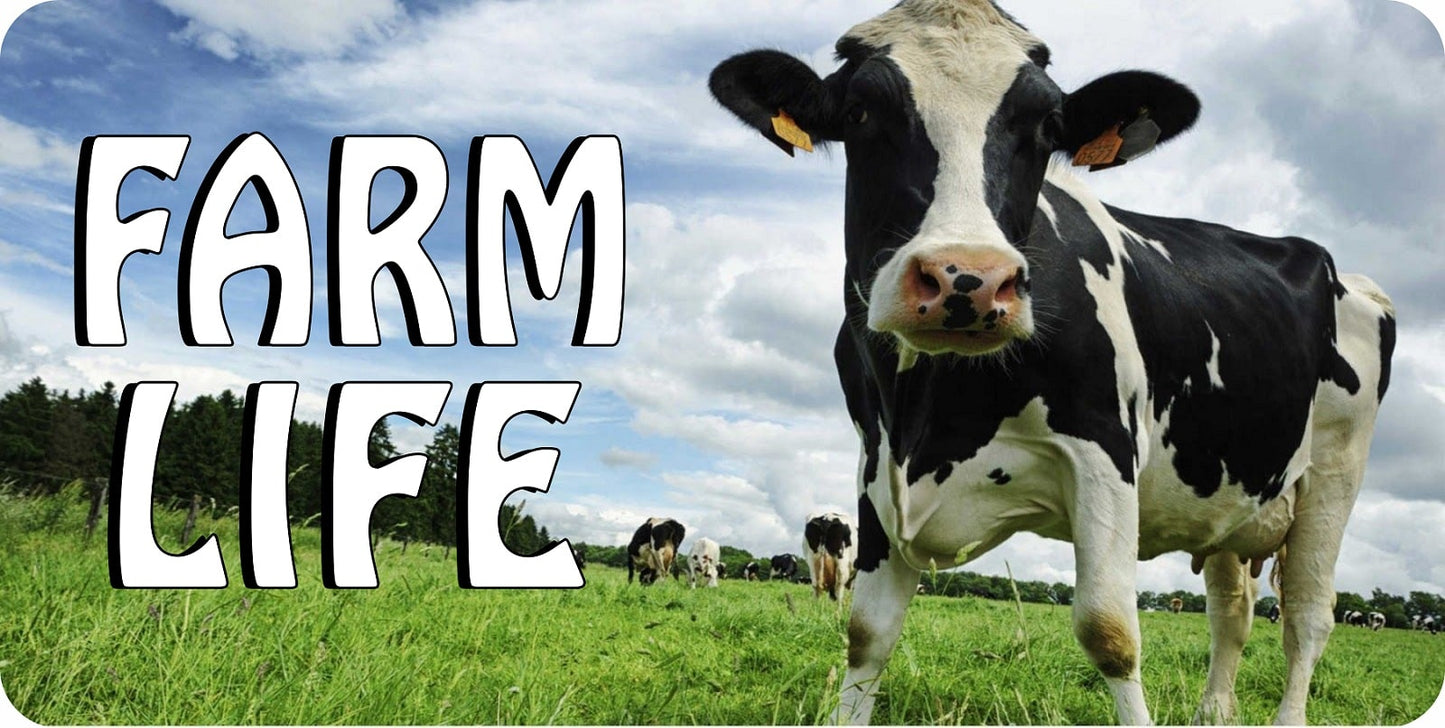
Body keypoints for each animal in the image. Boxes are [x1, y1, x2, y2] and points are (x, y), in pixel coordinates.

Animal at [708, 1, 1394, 724]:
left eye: (1044, 124)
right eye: (862, 111)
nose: (968, 278)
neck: (929, 412)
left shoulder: (1104, 451)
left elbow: (1110, 633)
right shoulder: (876, 466)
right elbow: (867, 635)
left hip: (1333, 478)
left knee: (1307, 618)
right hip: (1232, 493)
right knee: (1231, 613)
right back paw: (1213, 711)